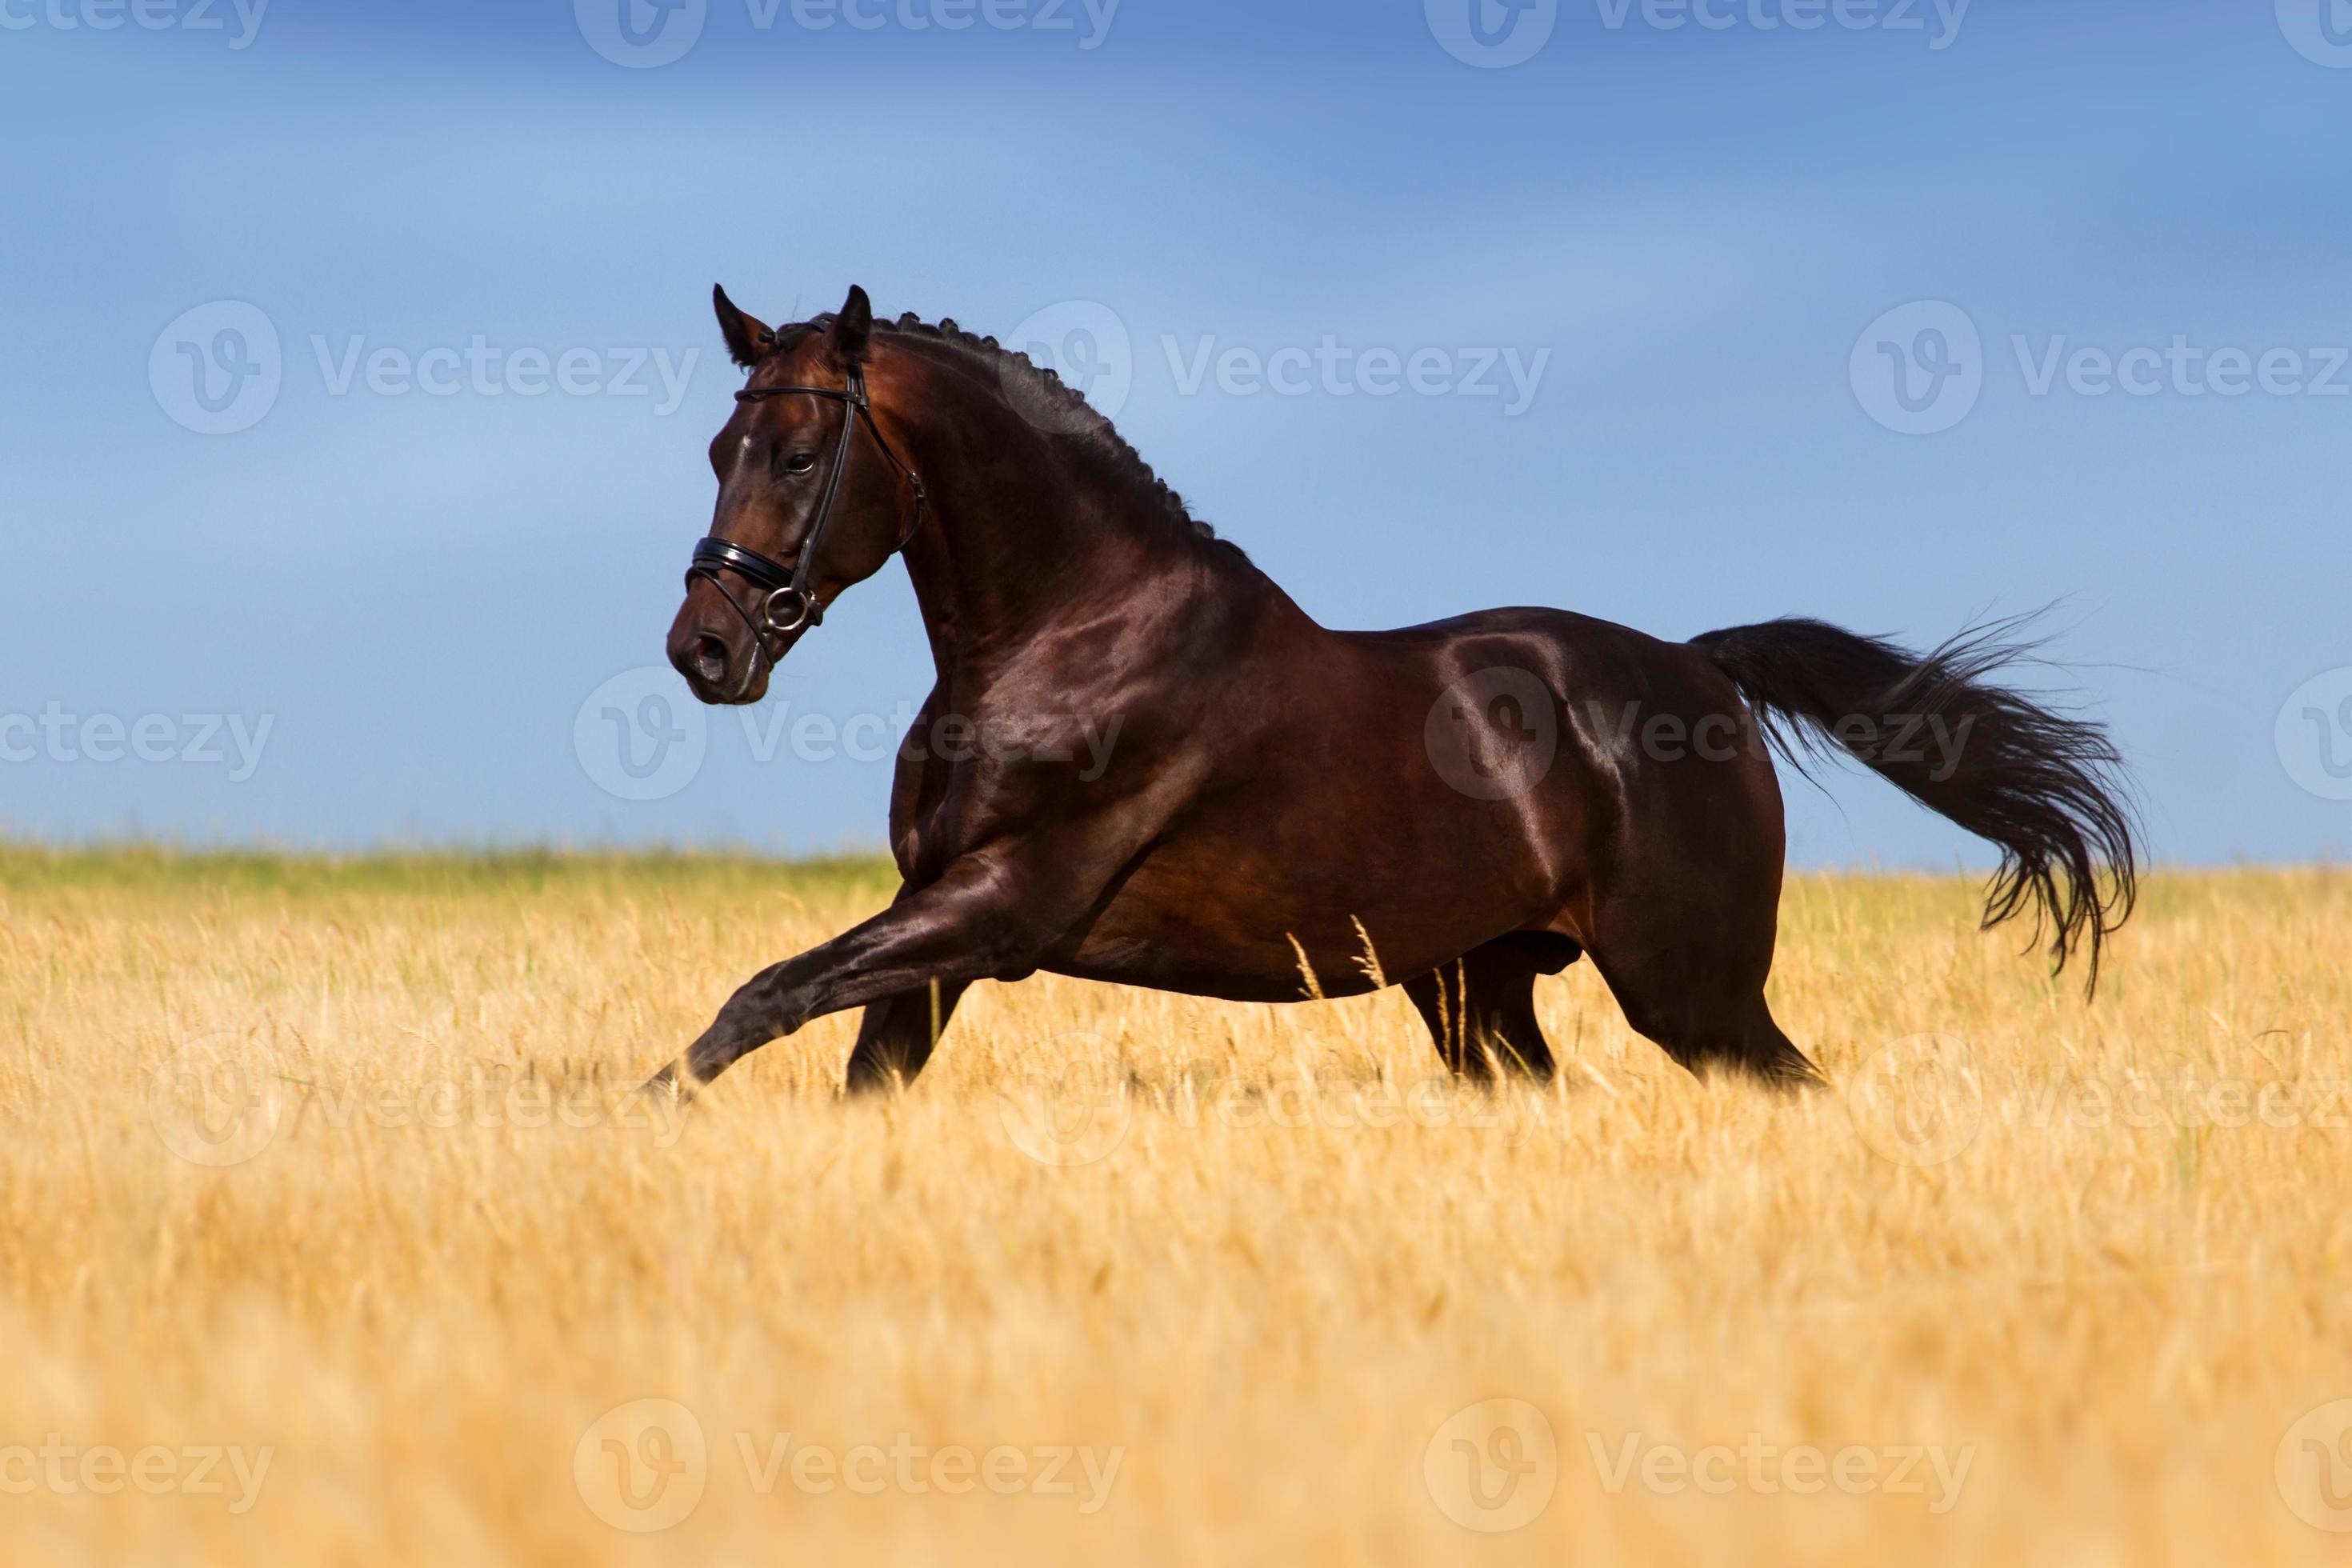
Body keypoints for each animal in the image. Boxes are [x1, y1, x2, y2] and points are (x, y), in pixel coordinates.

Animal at [644, 287, 2135, 1105]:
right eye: (716, 447)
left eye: (793, 454)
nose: (704, 650)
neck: (1069, 636)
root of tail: (1702, 666)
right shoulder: (938, 929)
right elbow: (849, 1067)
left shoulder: (998, 907)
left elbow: (756, 1001)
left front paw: (644, 1116)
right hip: (1480, 987)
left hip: (1690, 989)